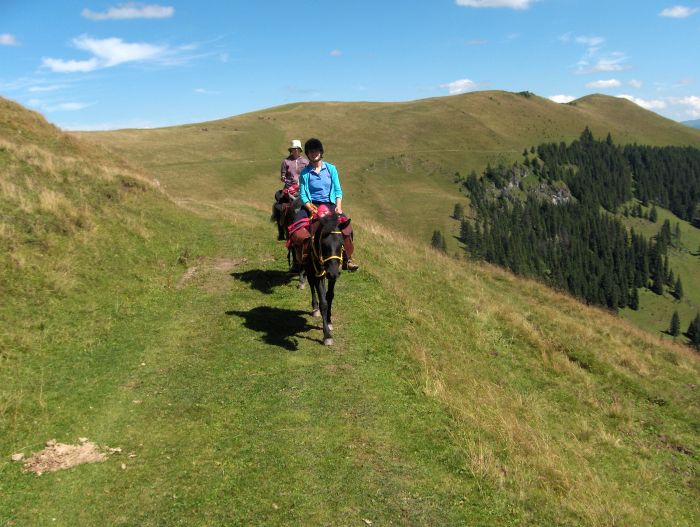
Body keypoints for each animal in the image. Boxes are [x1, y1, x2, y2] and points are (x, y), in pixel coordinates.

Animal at [302, 212, 348, 348]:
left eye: (341, 244)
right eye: (324, 245)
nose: (332, 273)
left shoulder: (333, 277)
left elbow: (330, 296)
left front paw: (329, 321)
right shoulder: (319, 275)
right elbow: (323, 302)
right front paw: (327, 335)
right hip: (310, 271)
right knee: (311, 286)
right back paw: (315, 308)